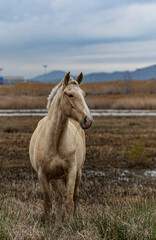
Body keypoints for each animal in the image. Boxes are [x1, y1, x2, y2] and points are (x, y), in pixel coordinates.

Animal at [29, 71, 92, 227]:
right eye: (70, 95)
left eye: (83, 93)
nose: (88, 120)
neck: (55, 142)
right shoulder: (43, 176)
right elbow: (48, 204)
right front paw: (50, 228)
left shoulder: (71, 172)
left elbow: (69, 201)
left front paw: (71, 226)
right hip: (55, 178)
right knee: (57, 199)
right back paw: (58, 225)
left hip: (78, 173)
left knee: (75, 196)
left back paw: (75, 219)